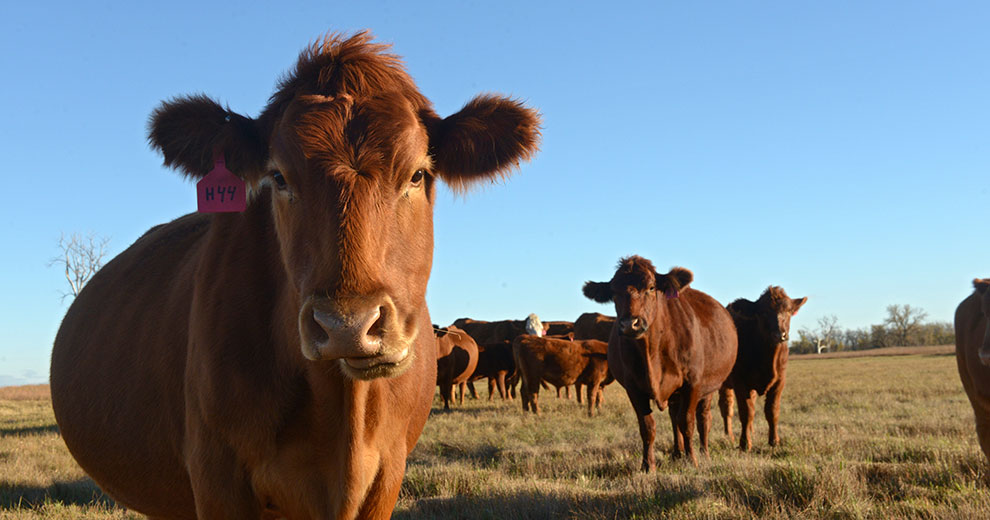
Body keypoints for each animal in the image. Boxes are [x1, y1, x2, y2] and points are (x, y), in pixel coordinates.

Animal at [583, 256, 737, 469]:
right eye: (614, 292)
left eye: (651, 287)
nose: (630, 324)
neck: (652, 351)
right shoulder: (633, 388)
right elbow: (648, 427)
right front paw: (648, 465)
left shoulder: (693, 383)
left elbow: (687, 422)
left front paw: (692, 460)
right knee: (674, 417)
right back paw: (677, 453)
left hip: (710, 387)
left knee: (703, 418)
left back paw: (703, 454)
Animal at [716, 287, 807, 451]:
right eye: (764, 312)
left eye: (788, 311)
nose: (780, 334)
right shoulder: (740, 382)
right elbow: (746, 412)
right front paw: (745, 443)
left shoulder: (779, 381)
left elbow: (772, 411)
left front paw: (774, 441)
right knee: (726, 407)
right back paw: (729, 435)